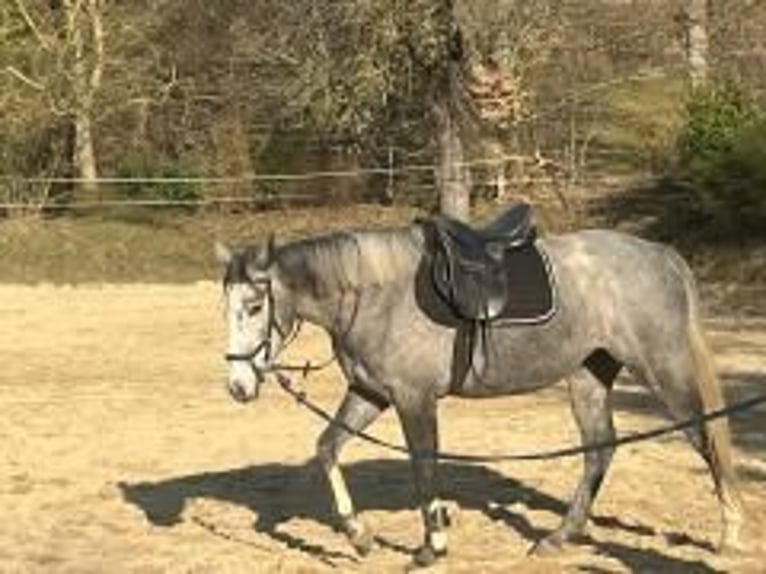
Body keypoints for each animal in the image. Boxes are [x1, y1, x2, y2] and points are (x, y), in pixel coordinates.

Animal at [215, 216, 744, 568]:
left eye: (256, 304)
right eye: (226, 308)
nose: (238, 386)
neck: (373, 295)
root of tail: (661, 256)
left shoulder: (413, 398)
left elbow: (424, 468)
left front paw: (432, 546)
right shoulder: (370, 393)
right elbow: (327, 448)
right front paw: (358, 535)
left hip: (662, 368)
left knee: (705, 439)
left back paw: (731, 533)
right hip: (587, 376)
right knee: (600, 449)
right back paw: (558, 538)